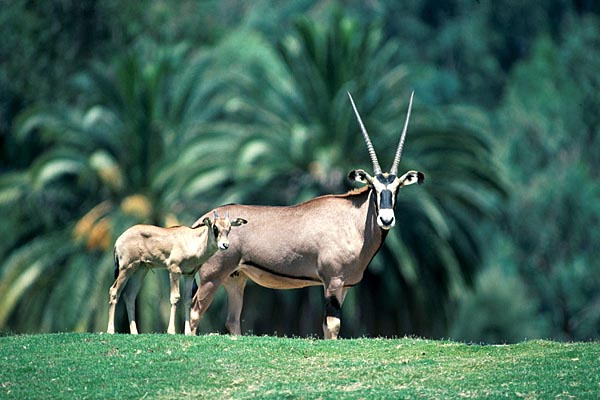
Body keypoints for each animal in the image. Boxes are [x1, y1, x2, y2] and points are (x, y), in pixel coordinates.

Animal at [106, 211, 247, 336]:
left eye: (229, 228)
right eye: (215, 227)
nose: (225, 245)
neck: (192, 240)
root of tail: (119, 240)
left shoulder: (189, 275)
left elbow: (188, 300)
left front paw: (188, 332)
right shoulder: (174, 270)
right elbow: (175, 298)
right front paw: (171, 331)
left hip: (140, 270)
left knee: (129, 295)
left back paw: (134, 332)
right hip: (126, 268)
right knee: (114, 291)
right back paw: (110, 330)